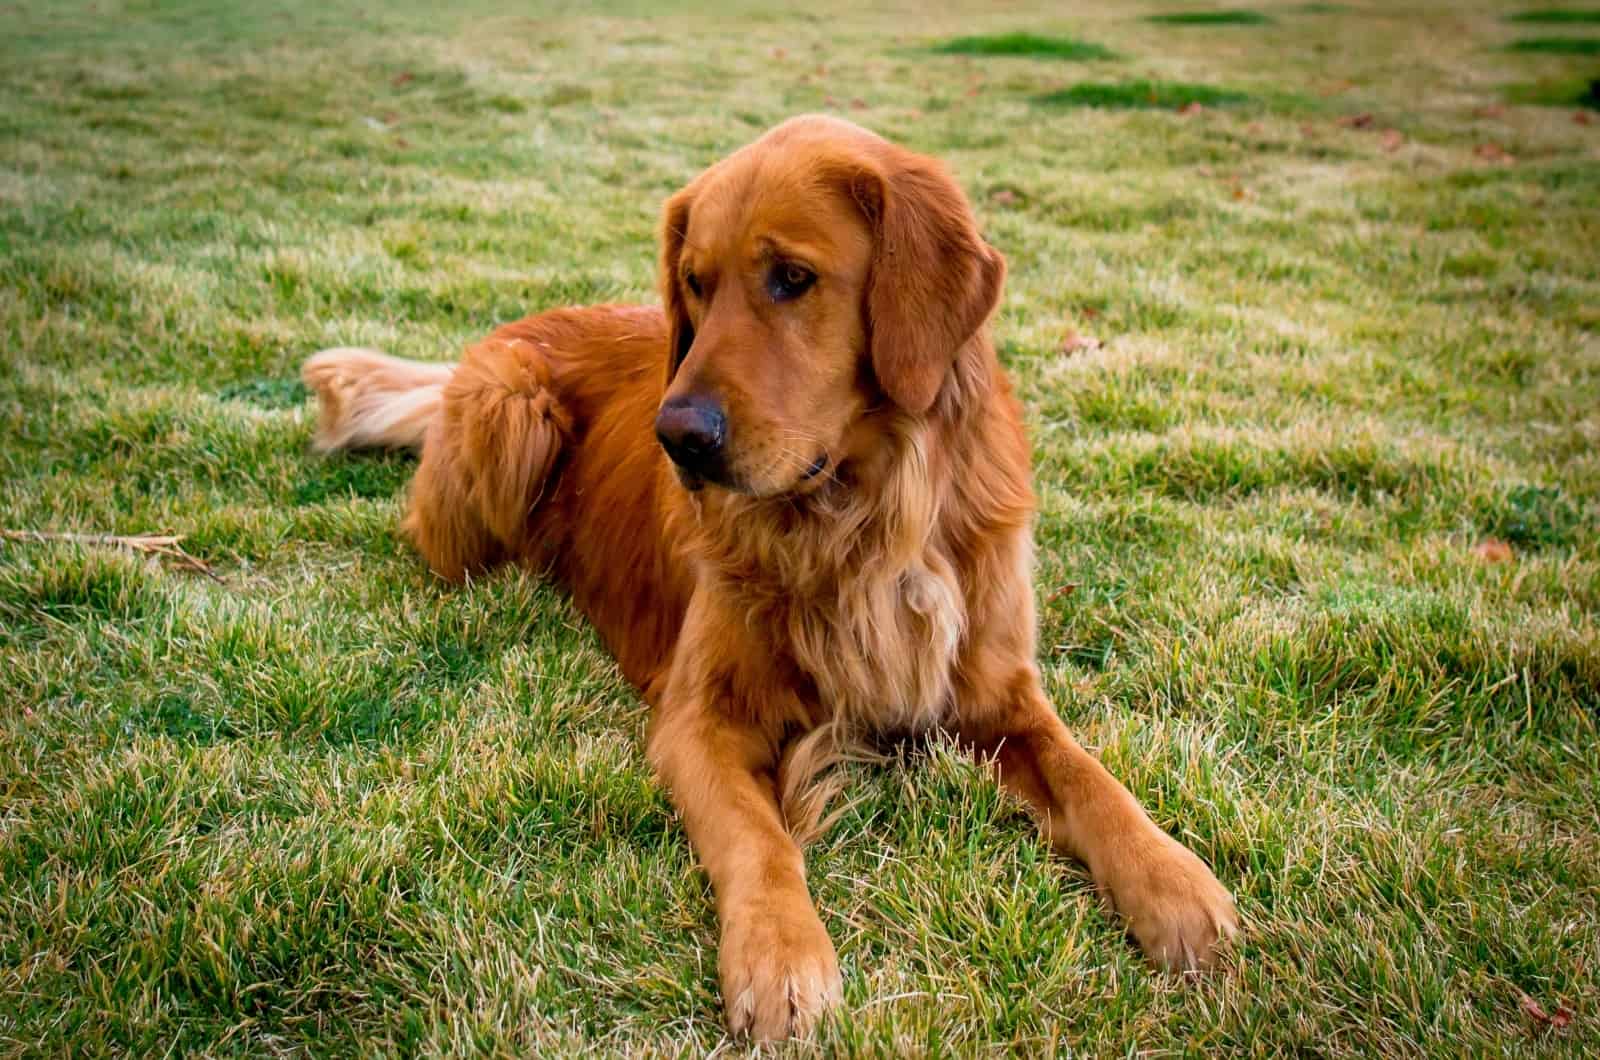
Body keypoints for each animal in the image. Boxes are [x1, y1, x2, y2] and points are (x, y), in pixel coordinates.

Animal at [305, 116, 1241, 1043]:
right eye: (694, 283)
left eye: (792, 278)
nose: (677, 437)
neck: (864, 520)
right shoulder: (699, 719)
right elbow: (759, 838)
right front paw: (781, 957)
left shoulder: (998, 694)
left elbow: (1091, 778)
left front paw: (1176, 882)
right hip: (508, 416)